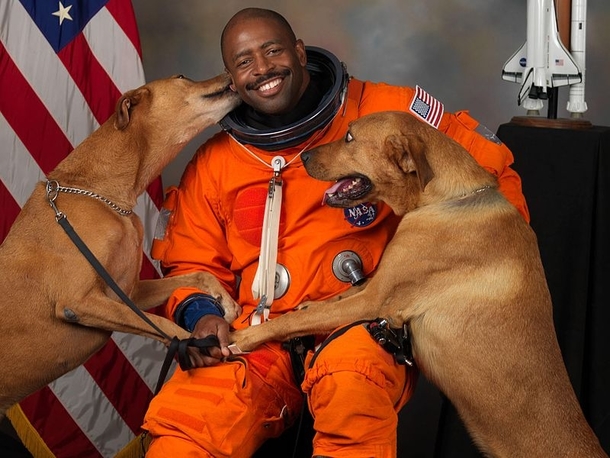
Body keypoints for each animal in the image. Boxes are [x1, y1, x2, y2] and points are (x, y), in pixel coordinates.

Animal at [0, 73, 242, 416]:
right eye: (182, 77)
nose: (228, 73)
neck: (102, 194)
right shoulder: (79, 302)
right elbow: (161, 324)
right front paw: (196, 346)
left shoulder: (129, 293)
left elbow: (198, 275)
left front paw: (225, 300)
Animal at [230, 112, 604, 458]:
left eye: (349, 137)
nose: (303, 156)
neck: (446, 198)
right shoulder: (374, 286)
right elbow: (335, 298)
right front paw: (310, 305)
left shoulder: (375, 301)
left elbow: (298, 318)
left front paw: (246, 337)